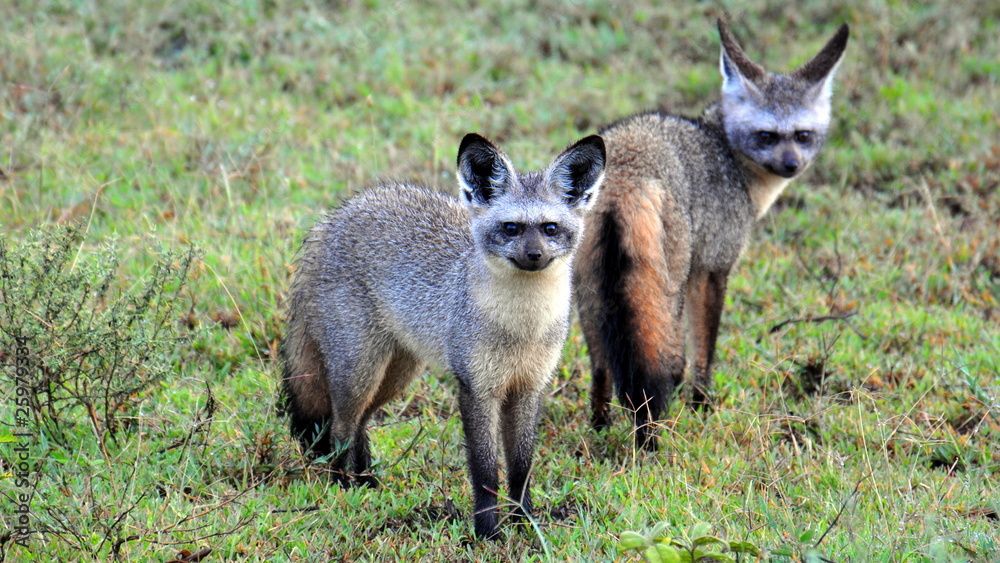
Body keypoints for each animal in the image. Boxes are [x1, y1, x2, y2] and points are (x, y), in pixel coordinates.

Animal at [279, 132, 605, 539]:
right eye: (511, 228)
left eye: (550, 228)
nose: (534, 256)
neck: (521, 329)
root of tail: (332, 219)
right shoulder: (477, 388)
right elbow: (485, 470)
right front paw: (488, 532)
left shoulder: (528, 387)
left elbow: (521, 466)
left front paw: (525, 522)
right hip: (361, 372)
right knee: (340, 429)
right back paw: (342, 488)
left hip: (396, 375)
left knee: (360, 427)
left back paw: (367, 484)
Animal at [574, 19, 849, 450]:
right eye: (767, 135)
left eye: (803, 135)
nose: (791, 165)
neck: (725, 150)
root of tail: (625, 175)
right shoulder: (712, 270)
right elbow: (706, 347)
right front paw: (702, 404)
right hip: (663, 296)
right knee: (666, 366)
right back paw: (650, 437)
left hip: (590, 295)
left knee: (601, 366)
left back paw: (600, 426)